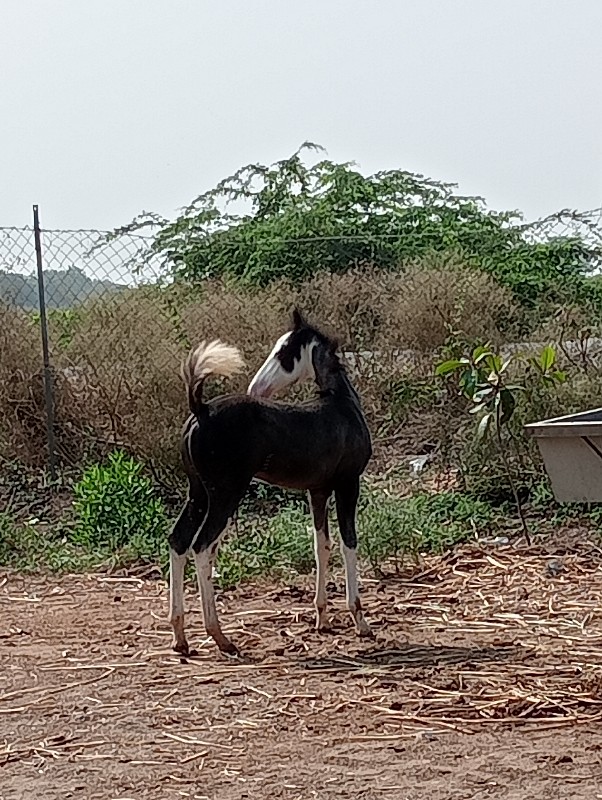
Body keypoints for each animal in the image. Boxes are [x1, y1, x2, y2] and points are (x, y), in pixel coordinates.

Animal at [169, 310, 372, 652]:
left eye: (283, 352)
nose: (258, 387)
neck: (342, 406)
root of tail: (201, 409)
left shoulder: (317, 491)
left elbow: (322, 546)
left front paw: (322, 619)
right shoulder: (348, 485)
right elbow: (349, 543)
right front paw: (360, 621)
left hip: (198, 494)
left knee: (178, 542)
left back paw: (180, 637)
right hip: (225, 494)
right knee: (202, 547)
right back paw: (220, 637)